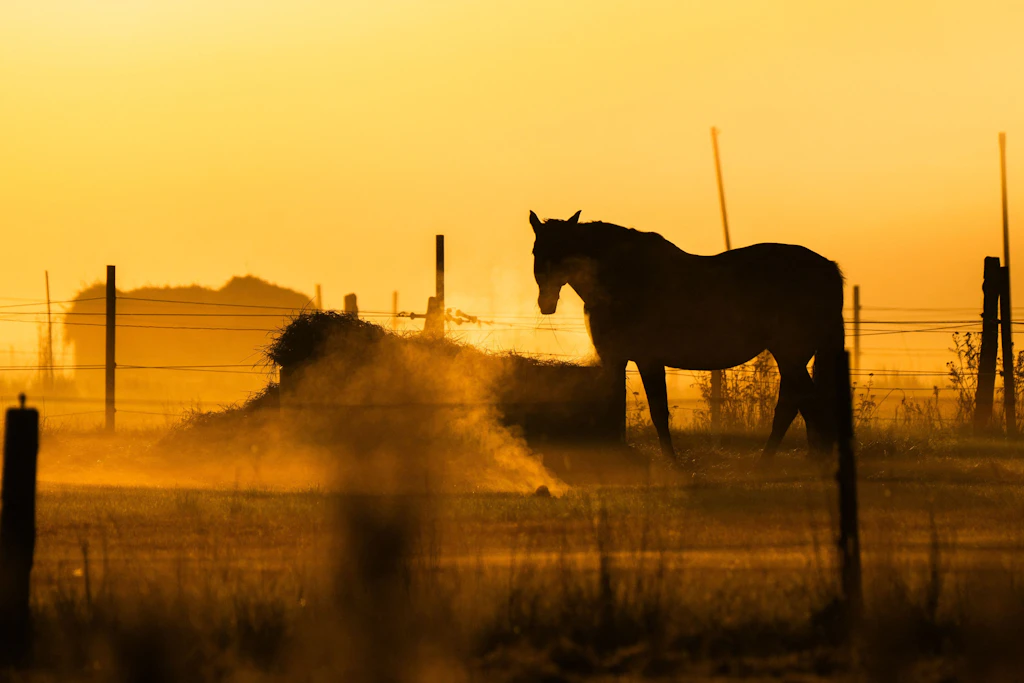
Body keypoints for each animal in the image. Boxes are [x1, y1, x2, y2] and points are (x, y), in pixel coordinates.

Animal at [529, 210, 845, 460]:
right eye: (536, 251)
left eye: (562, 250)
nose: (546, 304)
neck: (624, 276)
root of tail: (827, 267)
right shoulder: (615, 358)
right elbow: (614, 405)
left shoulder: (648, 359)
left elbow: (658, 412)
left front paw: (673, 463)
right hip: (792, 356)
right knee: (796, 404)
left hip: (790, 353)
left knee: (800, 404)